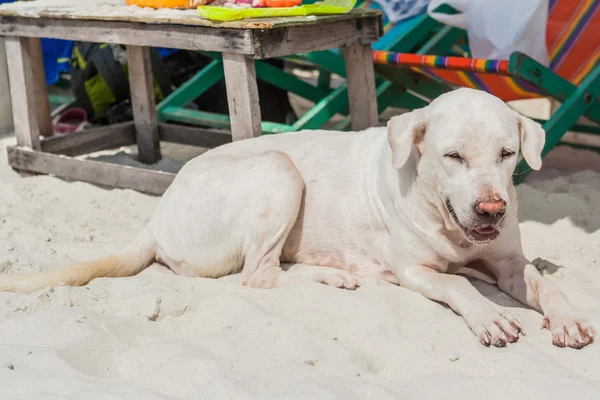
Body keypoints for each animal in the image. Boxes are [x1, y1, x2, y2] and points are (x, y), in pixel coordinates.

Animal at [0, 86, 592, 346]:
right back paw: (333, 275)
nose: (492, 207)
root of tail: (157, 216)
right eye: (453, 157)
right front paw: (489, 315)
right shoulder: (417, 272)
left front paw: (566, 318)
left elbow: (547, 285)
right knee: (257, 276)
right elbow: (459, 285)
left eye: (507, 155)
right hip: (278, 168)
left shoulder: (510, 263)